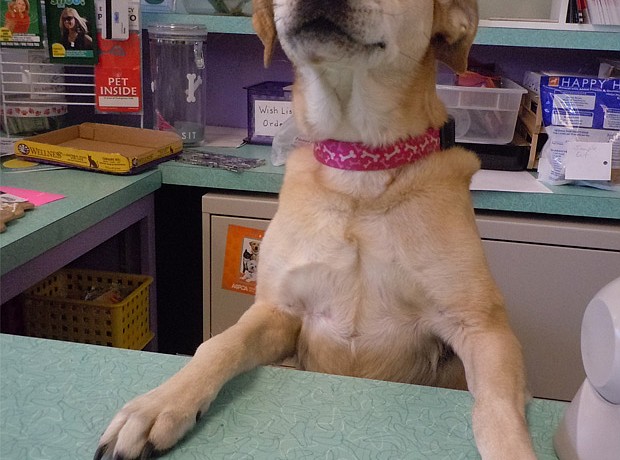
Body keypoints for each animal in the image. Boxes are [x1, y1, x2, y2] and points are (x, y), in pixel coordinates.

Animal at [95, 1, 535, 458]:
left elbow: (498, 406)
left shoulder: (483, 328)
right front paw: (157, 405)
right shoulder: (278, 309)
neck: (360, 174)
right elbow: (218, 345)